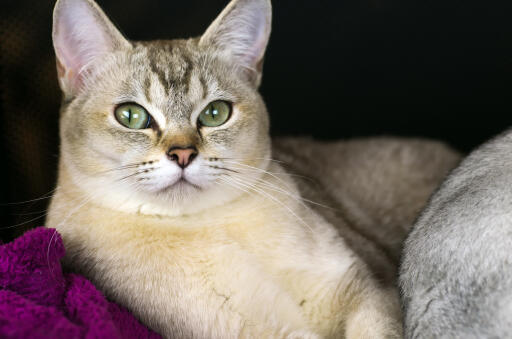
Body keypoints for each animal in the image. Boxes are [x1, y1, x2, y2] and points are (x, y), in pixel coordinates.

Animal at [47, 0, 460, 338]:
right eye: (131, 116)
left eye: (215, 113)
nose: (183, 154)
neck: (208, 224)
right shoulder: (254, 330)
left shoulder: (368, 288)